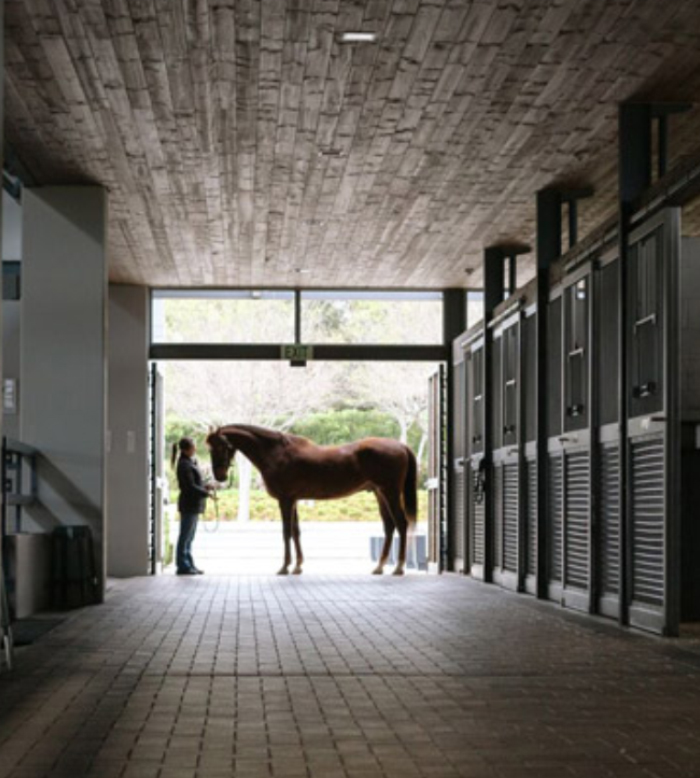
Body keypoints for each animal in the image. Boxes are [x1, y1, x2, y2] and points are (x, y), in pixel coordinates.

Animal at [205, 422, 418, 572]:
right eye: (210, 448)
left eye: (221, 446)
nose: (220, 476)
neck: (276, 453)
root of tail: (401, 446)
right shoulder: (293, 500)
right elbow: (296, 531)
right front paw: (298, 566)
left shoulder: (285, 500)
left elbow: (286, 532)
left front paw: (285, 567)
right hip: (380, 494)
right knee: (389, 527)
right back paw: (380, 567)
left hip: (390, 493)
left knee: (401, 524)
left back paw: (399, 567)